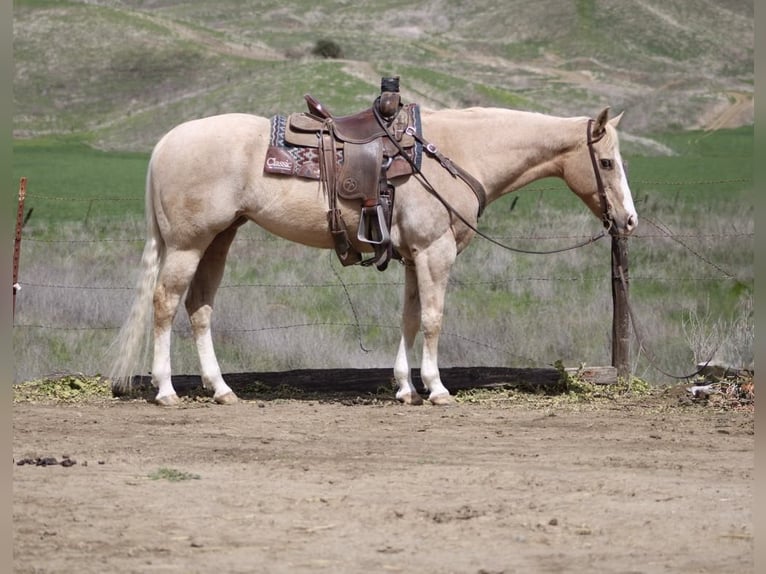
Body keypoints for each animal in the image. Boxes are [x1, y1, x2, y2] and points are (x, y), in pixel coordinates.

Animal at [108, 105, 637, 406]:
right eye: (607, 161)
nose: (629, 221)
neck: (453, 153)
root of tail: (167, 142)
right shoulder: (435, 252)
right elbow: (433, 319)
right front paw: (437, 389)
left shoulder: (413, 255)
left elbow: (409, 318)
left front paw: (405, 387)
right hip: (187, 244)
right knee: (165, 304)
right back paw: (166, 391)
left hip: (218, 240)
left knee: (199, 308)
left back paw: (220, 390)